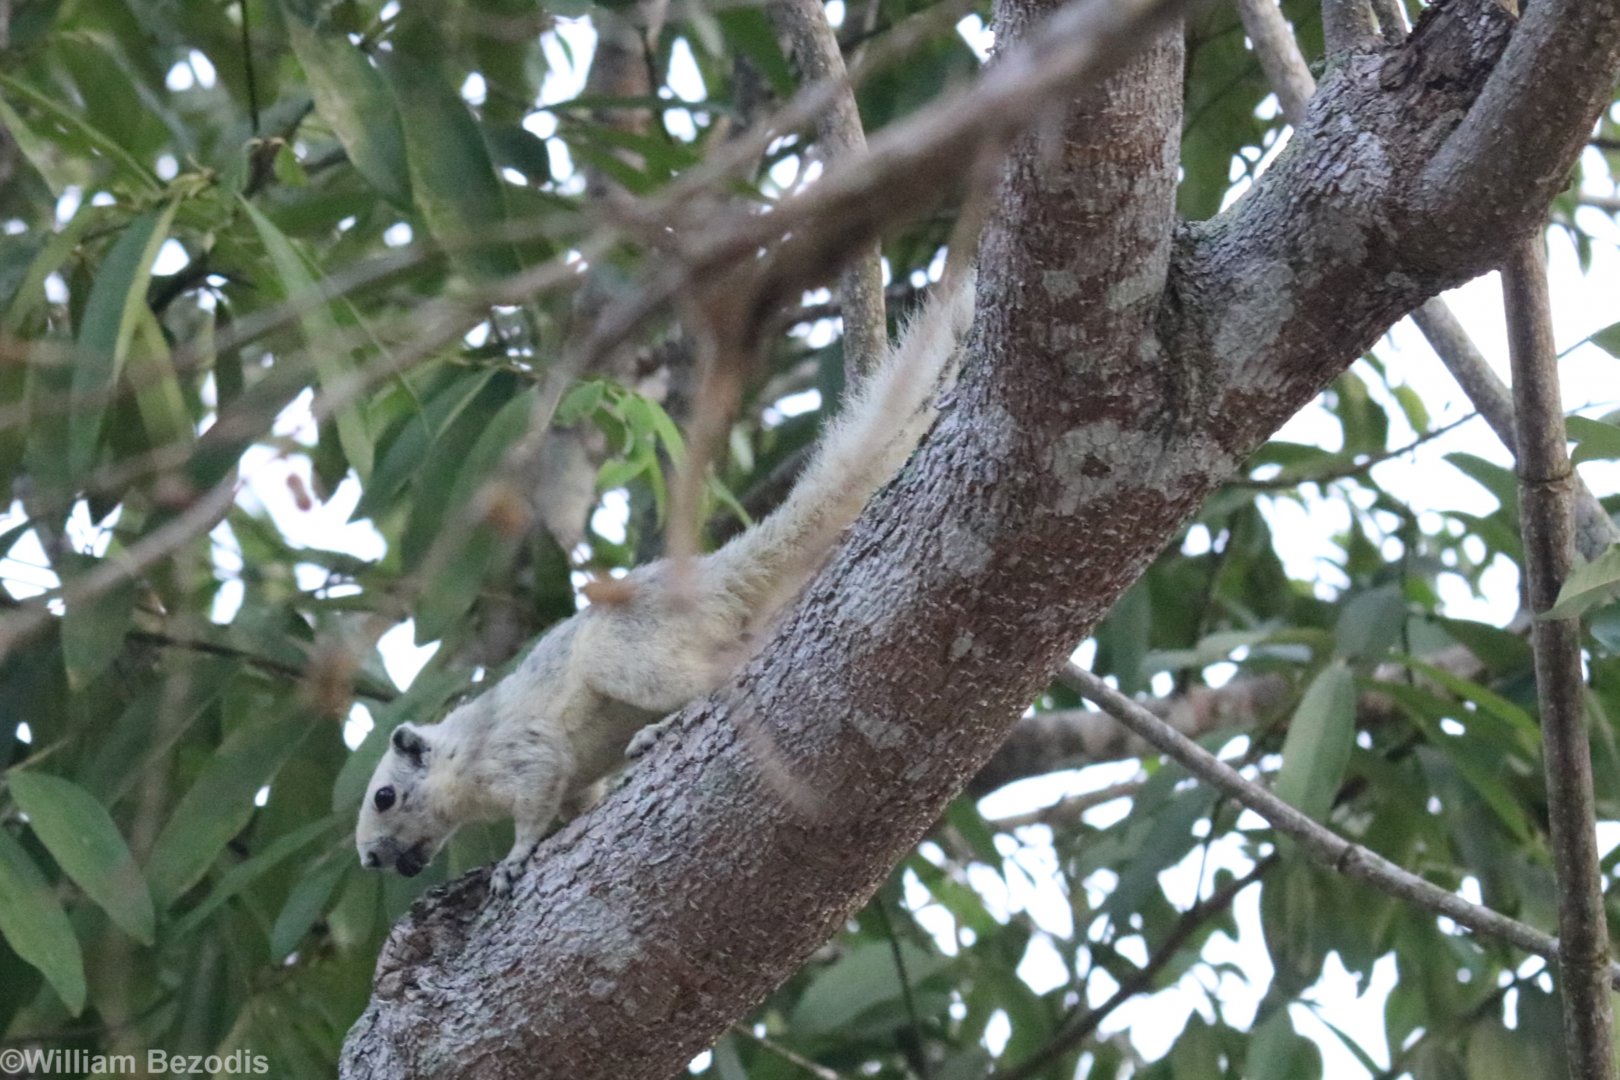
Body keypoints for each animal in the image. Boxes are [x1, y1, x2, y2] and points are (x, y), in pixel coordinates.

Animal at [354, 278, 972, 897]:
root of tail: (711, 582)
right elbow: (575, 797)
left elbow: (537, 790)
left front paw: (514, 859)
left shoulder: (513, 751)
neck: (457, 757)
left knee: (711, 679)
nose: (373, 860)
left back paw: (660, 729)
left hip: (627, 653)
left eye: (384, 796)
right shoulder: (570, 781)